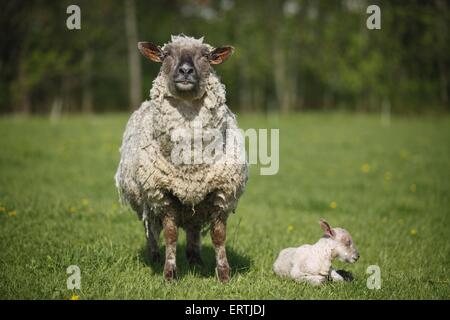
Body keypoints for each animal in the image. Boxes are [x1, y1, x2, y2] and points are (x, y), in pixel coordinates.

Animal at [114, 33, 248, 282]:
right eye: (166, 54)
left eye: (206, 55)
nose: (185, 70)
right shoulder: (163, 194)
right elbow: (170, 235)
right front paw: (169, 274)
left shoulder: (221, 194)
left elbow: (218, 237)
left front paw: (224, 275)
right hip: (144, 201)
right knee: (151, 230)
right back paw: (155, 256)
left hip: (195, 202)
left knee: (193, 229)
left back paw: (195, 259)